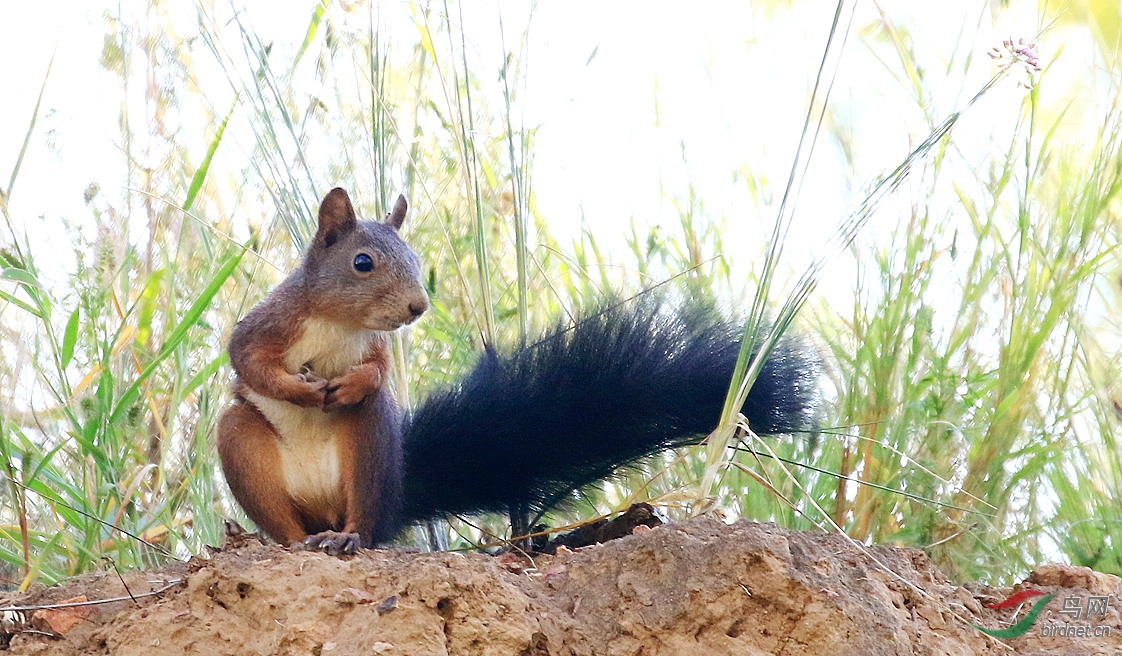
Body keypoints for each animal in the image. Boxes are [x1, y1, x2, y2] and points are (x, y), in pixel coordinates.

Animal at [216, 183, 816, 551]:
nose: (417, 307)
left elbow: (378, 373)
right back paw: (300, 540)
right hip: (242, 447)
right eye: (362, 262)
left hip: (370, 447)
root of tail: (325, 514)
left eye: (415, 259)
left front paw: (349, 383)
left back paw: (349, 535)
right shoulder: (270, 323)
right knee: (279, 513)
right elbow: (245, 358)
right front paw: (299, 389)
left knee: (366, 512)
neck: (337, 325)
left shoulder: (375, 347)